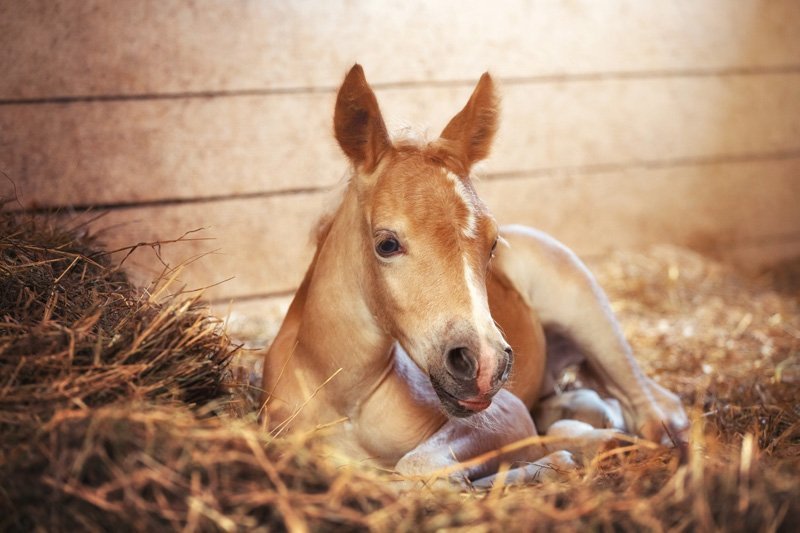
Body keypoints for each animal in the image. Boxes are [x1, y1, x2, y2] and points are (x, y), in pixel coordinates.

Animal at [262, 64, 688, 484]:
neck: (344, 396)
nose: (484, 365)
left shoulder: (506, 412)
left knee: (657, 410)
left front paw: (556, 461)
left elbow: (415, 467)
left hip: (590, 314)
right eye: (386, 244)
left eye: (493, 243)